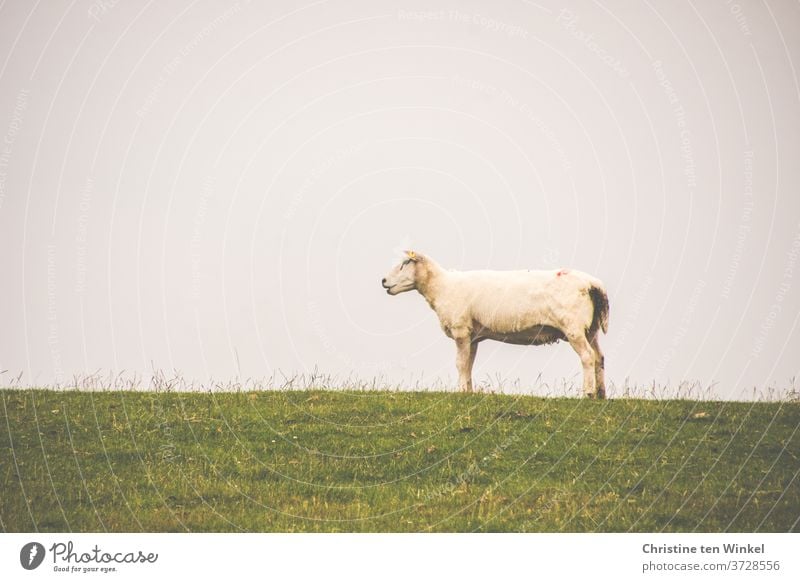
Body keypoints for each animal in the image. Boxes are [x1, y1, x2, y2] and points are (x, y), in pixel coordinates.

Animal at [384, 249, 608, 400]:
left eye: (405, 262)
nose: (383, 281)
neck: (441, 286)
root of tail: (594, 285)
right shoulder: (472, 336)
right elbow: (469, 364)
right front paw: (469, 391)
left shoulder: (460, 329)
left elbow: (460, 363)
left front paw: (461, 391)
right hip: (592, 329)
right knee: (599, 357)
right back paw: (601, 394)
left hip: (573, 327)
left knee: (587, 356)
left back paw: (588, 393)